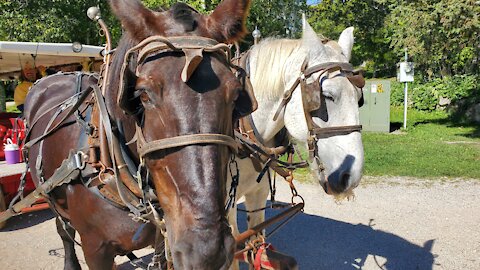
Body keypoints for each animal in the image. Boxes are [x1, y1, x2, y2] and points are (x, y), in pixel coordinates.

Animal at [22, 1, 253, 268]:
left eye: (236, 94)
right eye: (142, 94)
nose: (206, 252)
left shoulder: (162, 243)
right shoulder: (95, 250)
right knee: (63, 229)